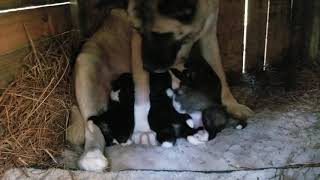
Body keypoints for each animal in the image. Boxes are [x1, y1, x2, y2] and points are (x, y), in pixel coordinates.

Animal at [71, 0, 254, 172]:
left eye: (160, 35)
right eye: (139, 31)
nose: (149, 68)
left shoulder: (209, 33)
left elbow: (219, 72)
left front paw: (232, 103)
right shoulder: (138, 46)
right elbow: (142, 90)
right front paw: (143, 128)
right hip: (87, 62)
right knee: (91, 126)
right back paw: (92, 156)